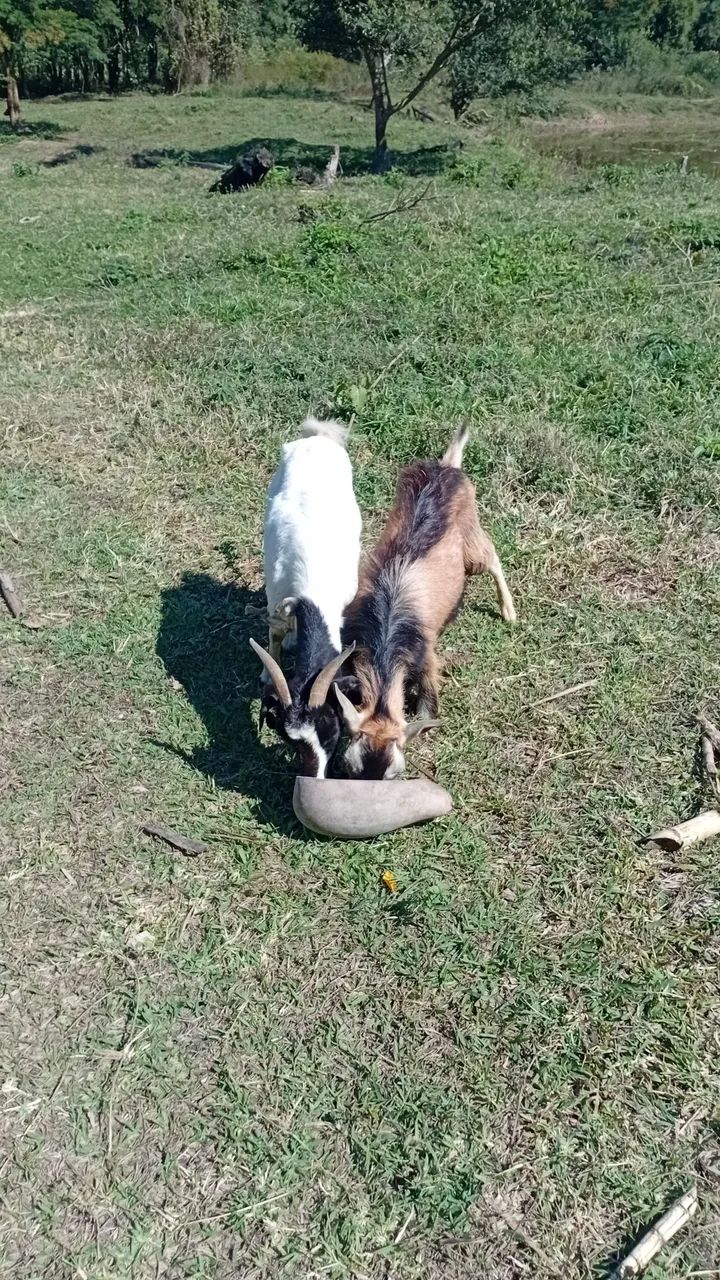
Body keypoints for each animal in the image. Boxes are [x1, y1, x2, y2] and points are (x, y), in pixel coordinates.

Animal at [250, 416, 361, 777]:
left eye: (332, 730)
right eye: (291, 741)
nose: (316, 775)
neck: (313, 597)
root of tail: (318, 438)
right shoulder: (276, 595)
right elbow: (274, 633)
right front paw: (266, 672)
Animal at [335, 425, 516, 780]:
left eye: (395, 773)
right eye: (350, 768)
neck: (386, 626)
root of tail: (448, 466)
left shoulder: (425, 655)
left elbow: (429, 700)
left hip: (472, 541)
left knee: (491, 558)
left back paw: (509, 611)